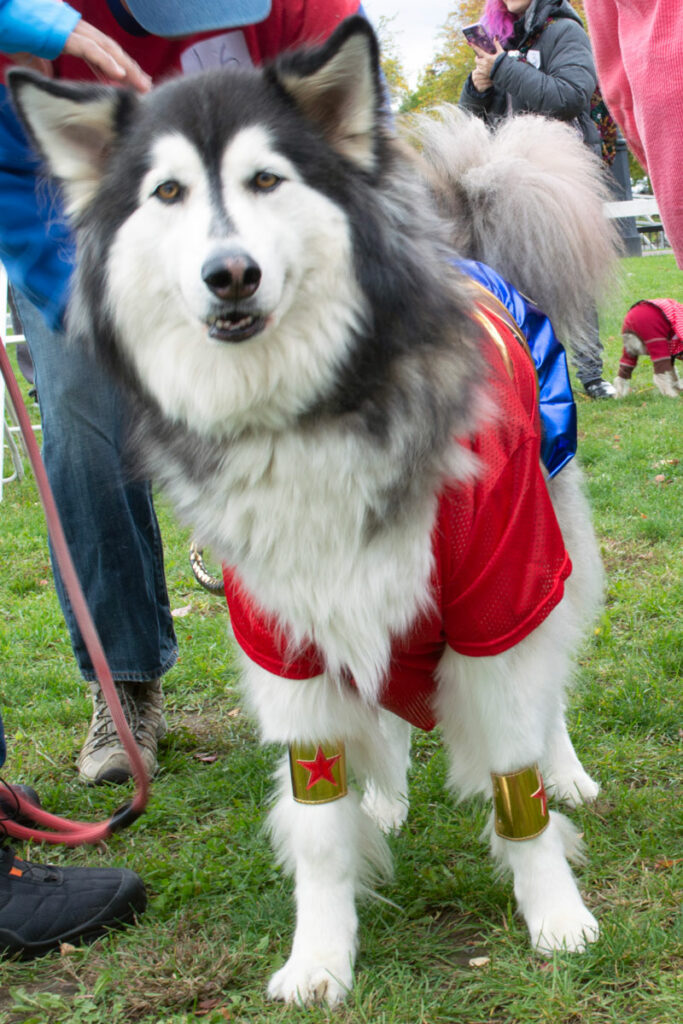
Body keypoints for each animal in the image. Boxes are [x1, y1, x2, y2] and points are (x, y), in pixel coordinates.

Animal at [10, 16, 618, 1003]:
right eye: (168, 192)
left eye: (267, 179)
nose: (229, 275)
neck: (309, 410)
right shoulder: (285, 628)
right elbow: (320, 819)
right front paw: (321, 956)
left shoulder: (497, 589)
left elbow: (510, 770)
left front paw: (554, 912)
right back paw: (388, 795)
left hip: (549, 543)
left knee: (545, 685)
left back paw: (564, 771)